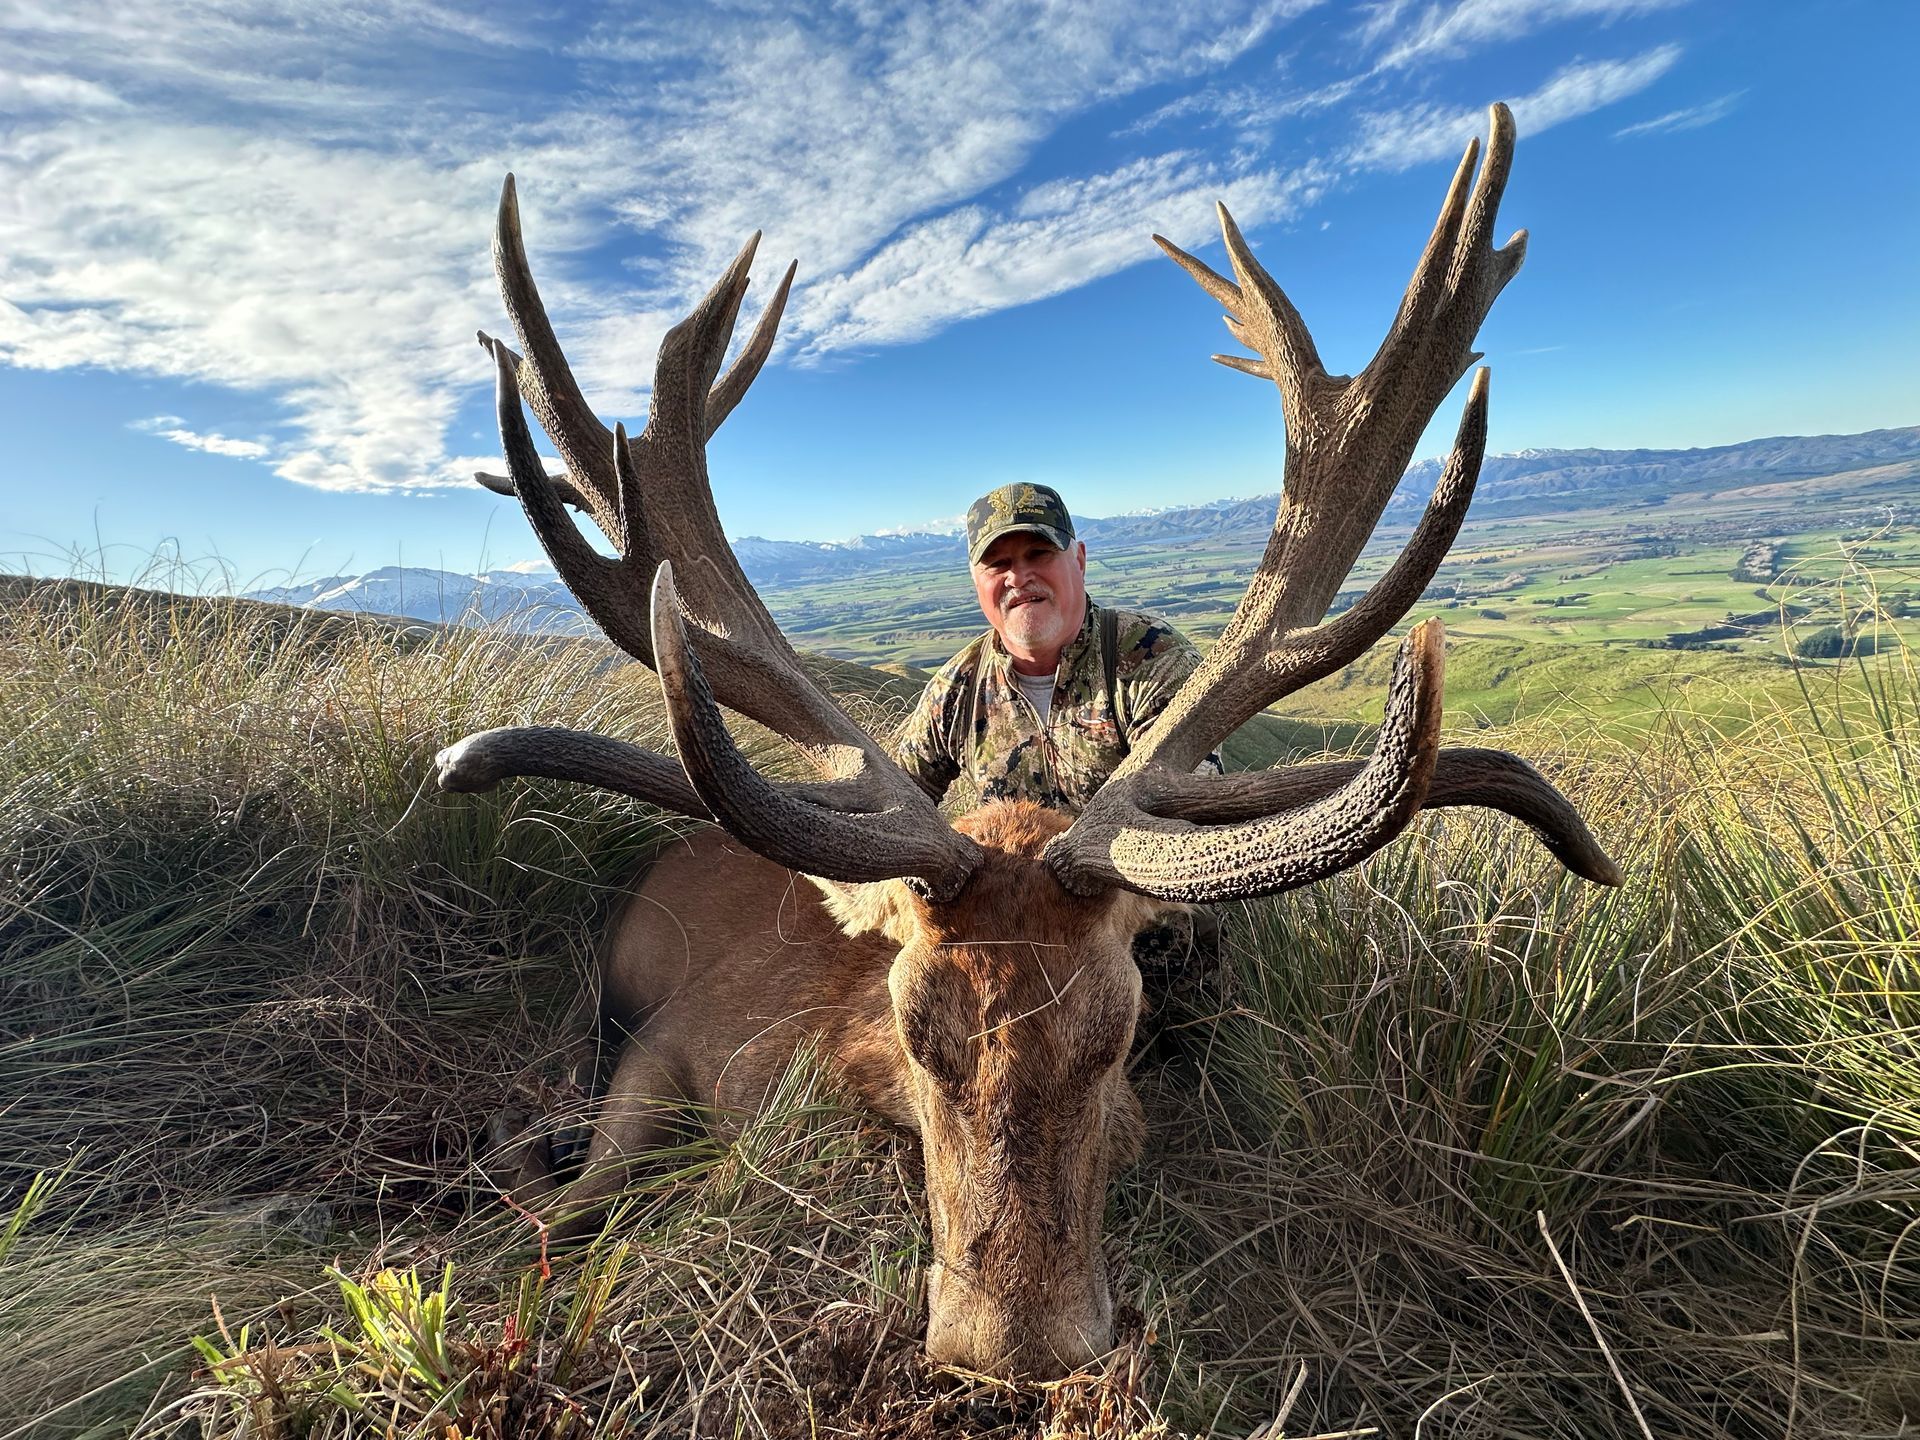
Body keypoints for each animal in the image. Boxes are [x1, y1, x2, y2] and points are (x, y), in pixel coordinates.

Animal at [434, 103, 1622, 1382]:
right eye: (915, 1028)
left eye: (1119, 1031)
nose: (1014, 1345)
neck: (824, 1052)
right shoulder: (669, 1040)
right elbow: (564, 1206)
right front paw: (526, 1159)